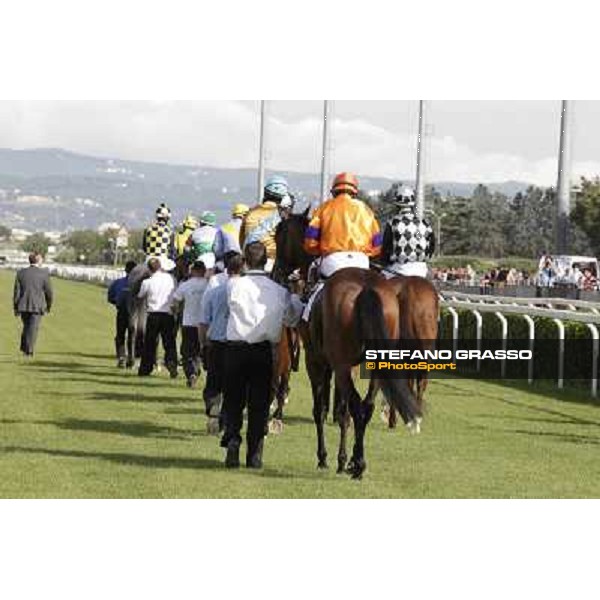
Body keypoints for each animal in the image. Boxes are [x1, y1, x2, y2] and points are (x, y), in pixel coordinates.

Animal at [274, 213, 420, 480]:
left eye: (280, 234)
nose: (277, 271)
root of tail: (366, 288)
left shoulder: (316, 360)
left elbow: (321, 408)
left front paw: (324, 458)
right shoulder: (344, 365)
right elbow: (341, 412)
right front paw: (343, 460)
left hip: (339, 364)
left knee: (355, 404)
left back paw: (358, 463)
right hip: (375, 363)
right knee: (366, 406)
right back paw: (356, 461)